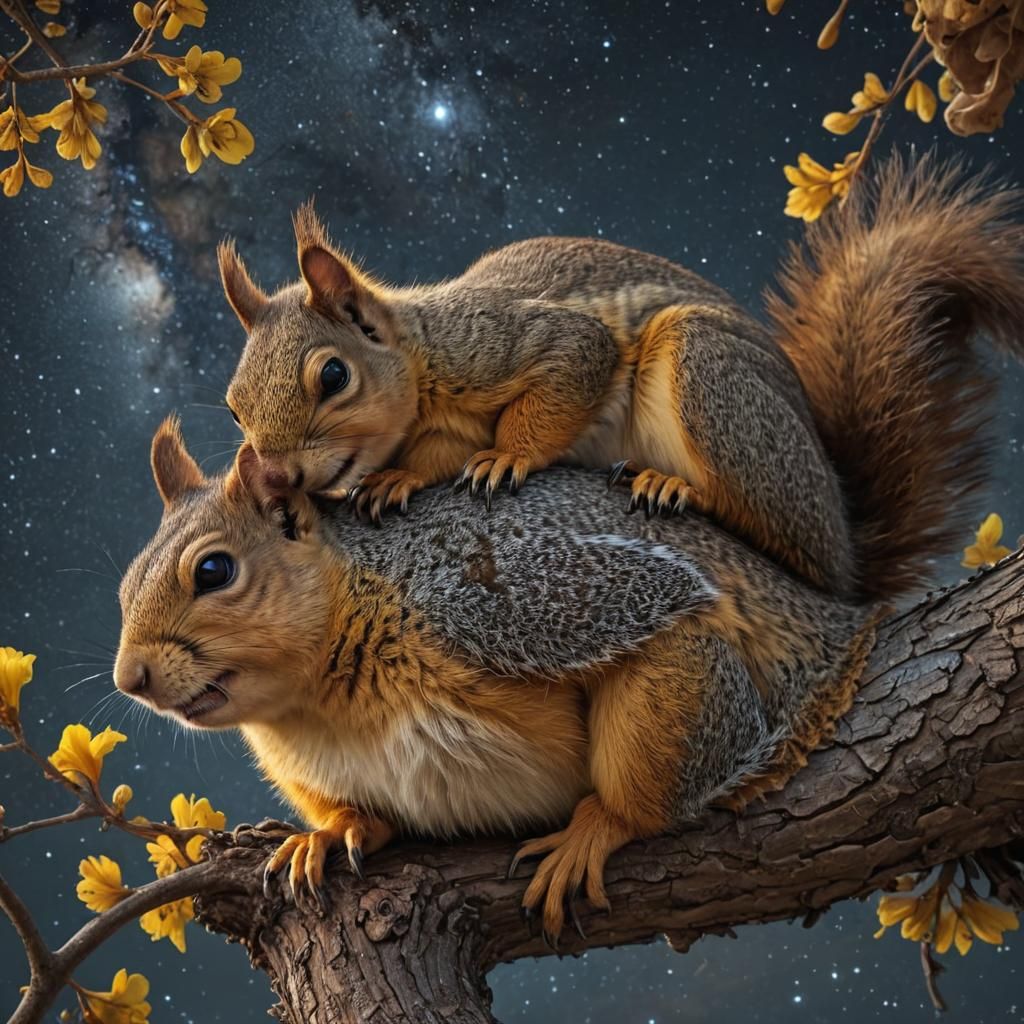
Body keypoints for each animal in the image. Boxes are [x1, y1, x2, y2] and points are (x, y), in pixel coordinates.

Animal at [114, 158, 1023, 944]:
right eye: (235, 408)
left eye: (214, 571)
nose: (132, 679)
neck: (319, 697)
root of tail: (839, 578)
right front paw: (330, 833)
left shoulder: (522, 594)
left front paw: (599, 828)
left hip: (719, 391)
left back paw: (675, 492)